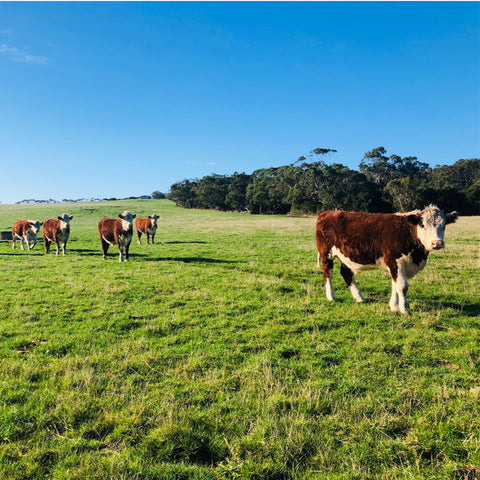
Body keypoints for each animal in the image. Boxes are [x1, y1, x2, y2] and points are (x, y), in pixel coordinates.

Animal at [316, 203, 458, 314]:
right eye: (422, 225)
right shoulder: (395, 261)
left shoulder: (397, 266)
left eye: (444, 225)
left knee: (346, 273)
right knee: (327, 272)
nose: (437, 243)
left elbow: (395, 285)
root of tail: (328, 212)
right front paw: (405, 309)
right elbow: (402, 286)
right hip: (326, 254)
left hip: (345, 256)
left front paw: (394, 306)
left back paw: (359, 297)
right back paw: (331, 296)